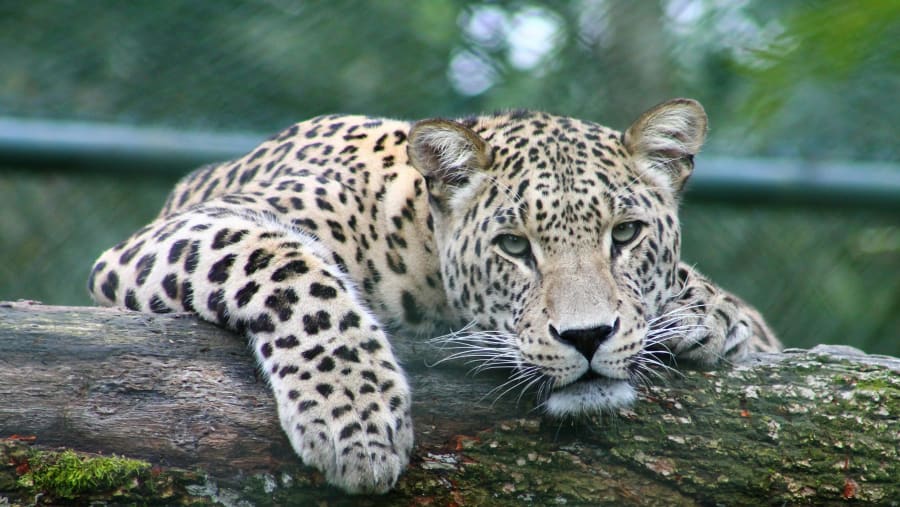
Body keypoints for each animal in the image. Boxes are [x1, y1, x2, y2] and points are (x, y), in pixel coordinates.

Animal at [88, 98, 781, 494]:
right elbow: (288, 267)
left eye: (627, 234)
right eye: (513, 246)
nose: (587, 337)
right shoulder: (173, 235)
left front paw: (709, 312)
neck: (417, 242)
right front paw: (356, 420)